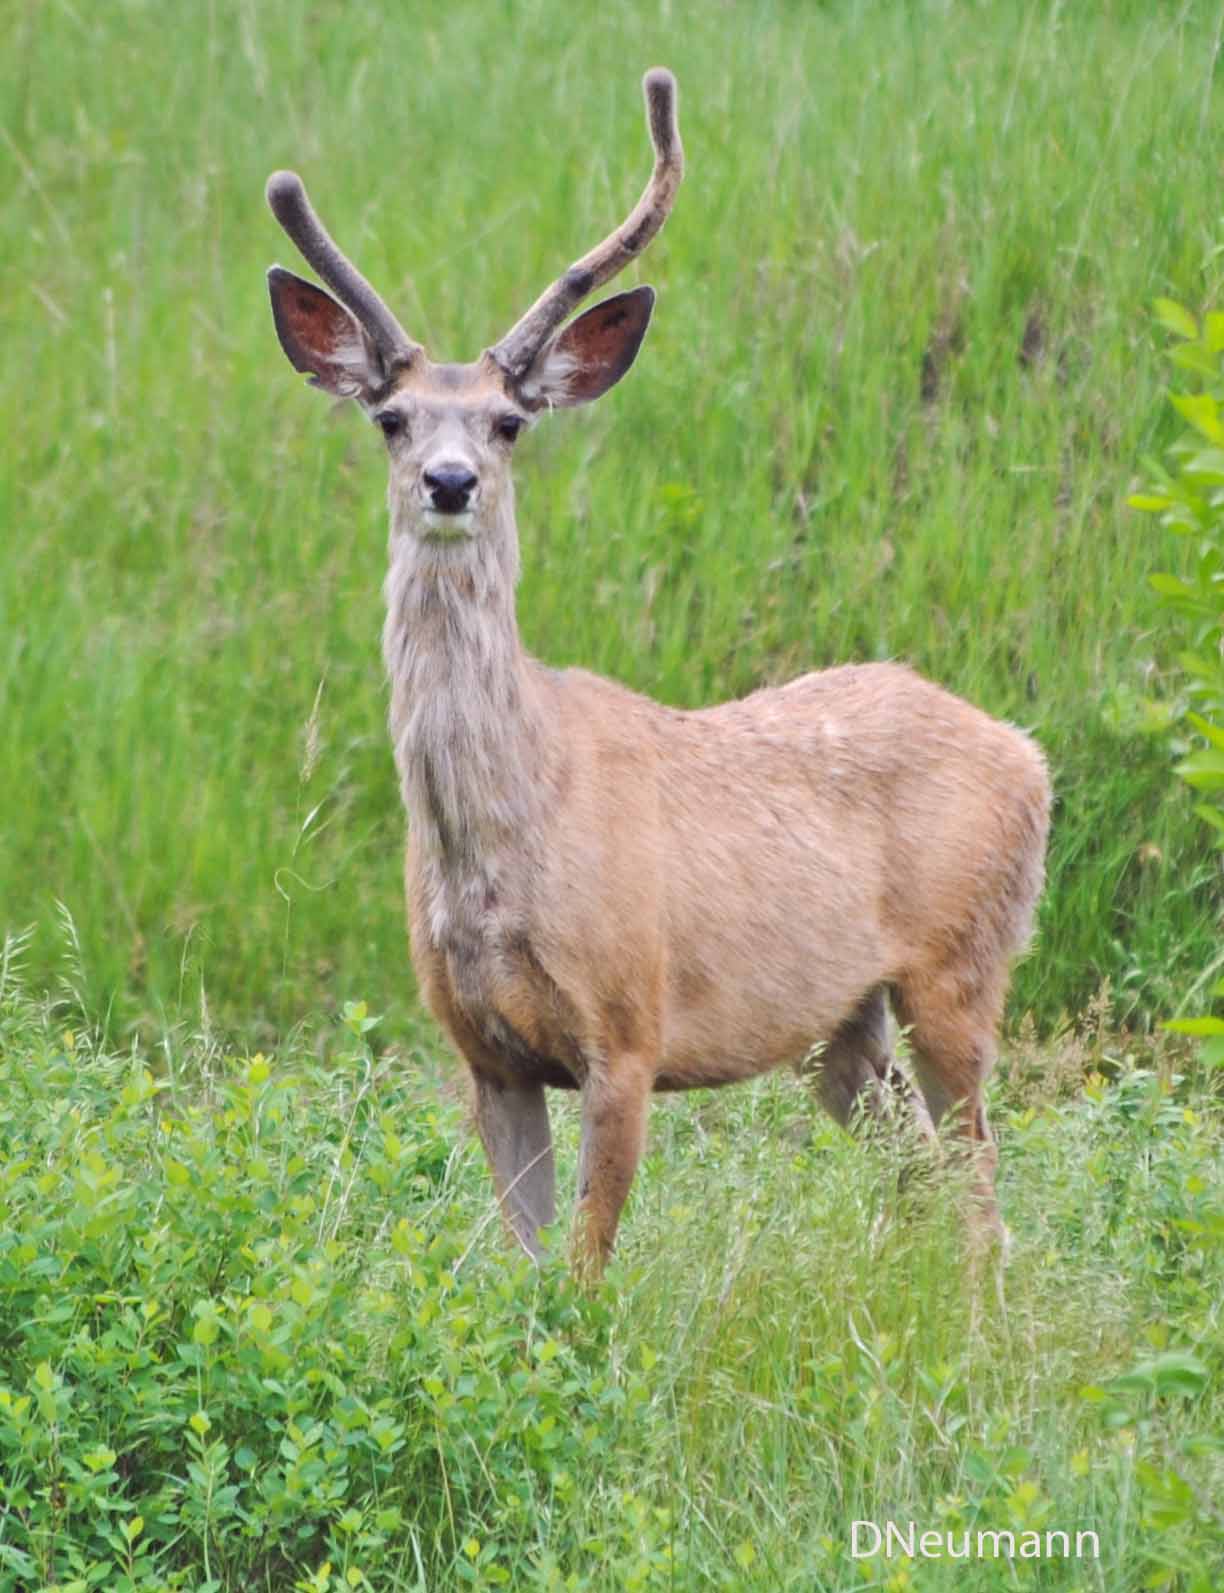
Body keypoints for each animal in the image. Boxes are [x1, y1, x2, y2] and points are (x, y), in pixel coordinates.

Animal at [264, 68, 1051, 1280]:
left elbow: (586, 1272)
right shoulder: (483, 1052)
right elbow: (524, 1268)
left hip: (961, 964)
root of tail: (1030, 756)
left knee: (981, 1184)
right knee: (922, 1168)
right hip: (841, 1026)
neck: (510, 827)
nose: (449, 481)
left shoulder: (629, 1026)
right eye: (391, 417)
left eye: (508, 421)